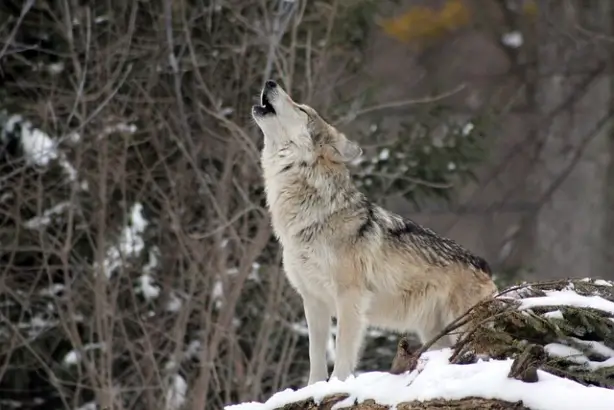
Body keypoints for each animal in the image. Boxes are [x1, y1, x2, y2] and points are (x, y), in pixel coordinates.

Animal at [250, 80, 496, 384]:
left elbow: (343, 353)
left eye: (301, 109)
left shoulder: (350, 297)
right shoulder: (313, 300)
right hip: (435, 334)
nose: (270, 82)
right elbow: (315, 357)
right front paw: (314, 388)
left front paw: (337, 385)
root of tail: (484, 265)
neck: (311, 216)